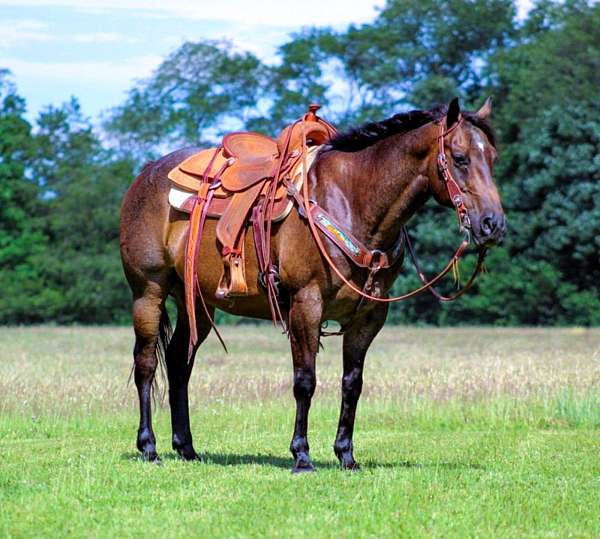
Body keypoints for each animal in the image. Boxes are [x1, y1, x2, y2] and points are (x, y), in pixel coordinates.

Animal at [119, 98, 504, 472]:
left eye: (492, 158)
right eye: (460, 158)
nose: (493, 224)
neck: (351, 199)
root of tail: (146, 172)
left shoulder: (369, 316)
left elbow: (352, 383)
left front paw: (346, 455)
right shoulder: (306, 304)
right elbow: (305, 381)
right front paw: (302, 455)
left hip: (196, 302)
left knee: (178, 362)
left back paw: (186, 448)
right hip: (148, 292)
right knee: (146, 364)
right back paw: (149, 448)